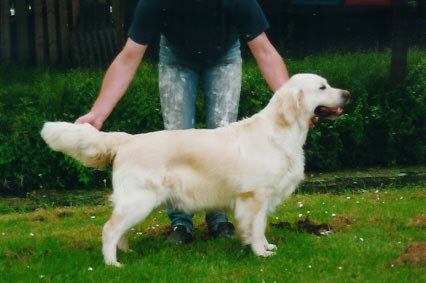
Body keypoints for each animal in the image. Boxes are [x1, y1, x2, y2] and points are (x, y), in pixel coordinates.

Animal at [40, 74, 350, 268]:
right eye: (322, 87)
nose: (347, 94)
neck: (280, 130)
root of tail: (126, 140)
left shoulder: (259, 199)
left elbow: (260, 228)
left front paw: (266, 247)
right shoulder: (254, 196)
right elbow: (256, 227)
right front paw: (260, 253)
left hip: (135, 202)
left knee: (119, 229)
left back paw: (124, 251)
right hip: (139, 200)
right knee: (109, 229)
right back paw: (112, 262)